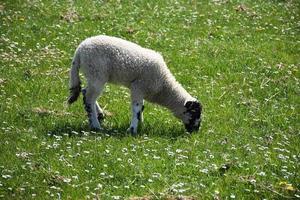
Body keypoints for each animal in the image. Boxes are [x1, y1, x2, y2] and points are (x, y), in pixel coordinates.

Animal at [67, 35, 203, 134]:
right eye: (194, 113)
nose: (195, 131)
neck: (164, 87)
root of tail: (79, 50)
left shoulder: (141, 90)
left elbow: (141, 107)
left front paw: (140, 122)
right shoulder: (138, 87)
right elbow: (136, 108)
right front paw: (132, 129)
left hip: (93, 76)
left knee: (86, 92)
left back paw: (100, 115)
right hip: (97, 73)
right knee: (89, 99)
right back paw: (96, 125)